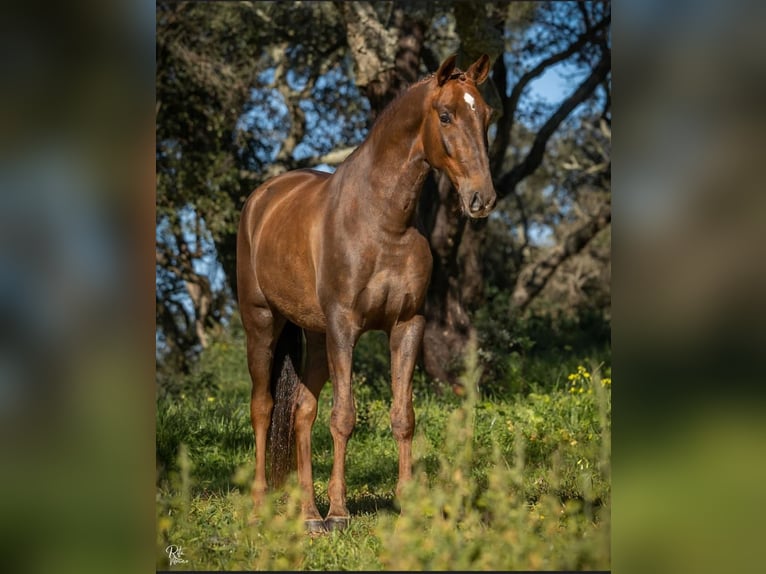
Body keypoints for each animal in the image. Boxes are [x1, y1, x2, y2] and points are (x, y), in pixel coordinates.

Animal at [234, 54, 498, 536]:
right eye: (446, 115)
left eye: (486, 115)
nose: (481, 198)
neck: (383, 220)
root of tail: (262, 199)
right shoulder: (345, 327)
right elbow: (344, 417)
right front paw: (340, 512)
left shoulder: (408, 326)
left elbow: (403, 416)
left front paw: (407, 504)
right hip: (262, 323)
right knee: (262, 407)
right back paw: (263, 507)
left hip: (316, 336)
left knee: (301, 411)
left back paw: (308, 513)